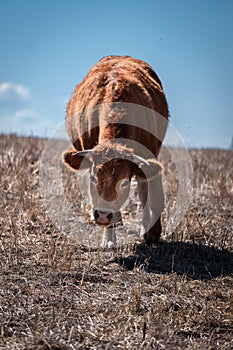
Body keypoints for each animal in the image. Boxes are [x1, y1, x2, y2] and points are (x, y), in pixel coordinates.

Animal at [62, 55, 168, 246]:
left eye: (124, 183)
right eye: (93, 178)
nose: (104, 215)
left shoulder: (149, 156)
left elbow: (154, 197)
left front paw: (153, 233)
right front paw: (109, 239)